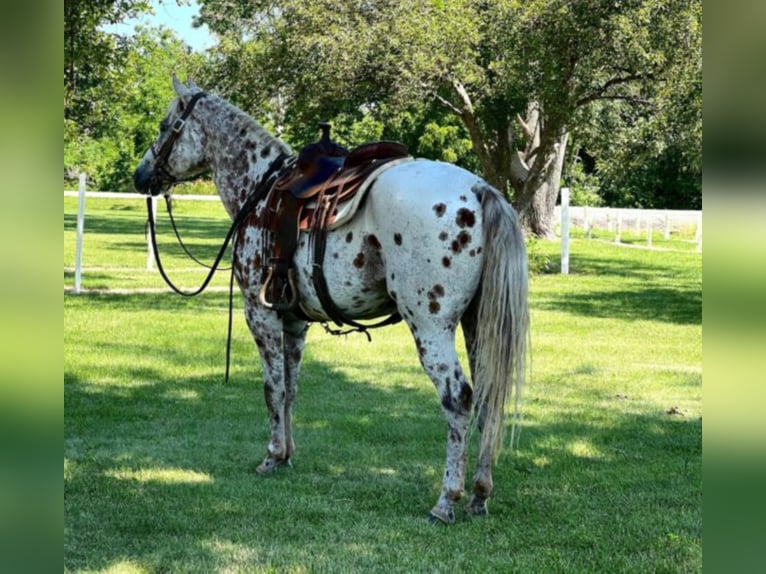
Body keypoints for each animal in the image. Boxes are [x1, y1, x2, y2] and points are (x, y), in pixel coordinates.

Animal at [135, 77, 532, 528]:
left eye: (166, 126)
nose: (140, 176)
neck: (260, 189)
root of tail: (479, 189)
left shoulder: (261, 314)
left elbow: (271, 388)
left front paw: (271, 457)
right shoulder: (294, 321)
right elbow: (290, 388)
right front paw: (287, 455)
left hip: (431, 327)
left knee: (459, 400)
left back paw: (446, 499)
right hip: (477, 324)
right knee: (487, 397)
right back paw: (479, 495)